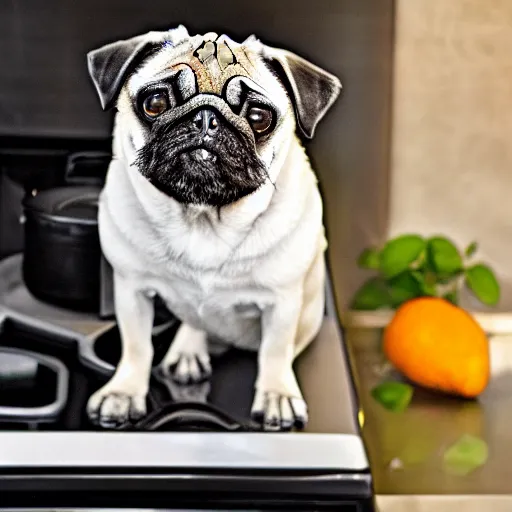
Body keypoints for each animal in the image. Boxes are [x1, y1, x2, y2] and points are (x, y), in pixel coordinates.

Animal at [86, 26, 342, 430]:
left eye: (258, 116)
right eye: (155, 102)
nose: (206, 118)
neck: (202, 215)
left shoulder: (282, 302)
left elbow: (274, 352)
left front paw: (276, 396)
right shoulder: (132, 289)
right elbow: (137, 346)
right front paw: (124, 393)